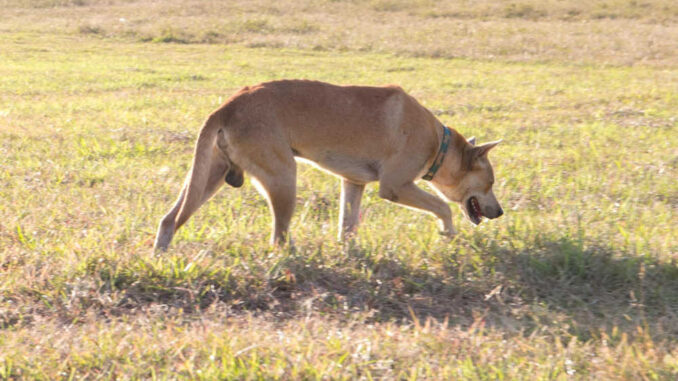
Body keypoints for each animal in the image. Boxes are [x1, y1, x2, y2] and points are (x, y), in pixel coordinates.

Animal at [155, 79, 504, 249]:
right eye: (489, 183)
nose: (500, 212)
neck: (439, 143)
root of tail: (227, 107)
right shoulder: (395, 186)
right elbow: (443, 207)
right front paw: (448, 233)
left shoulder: (354, 183)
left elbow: (347, 226)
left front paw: (349, 255)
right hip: (283, 179)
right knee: (278, 239)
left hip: (206, 178)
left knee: (169, 220)